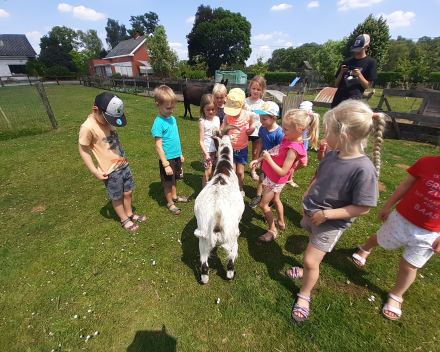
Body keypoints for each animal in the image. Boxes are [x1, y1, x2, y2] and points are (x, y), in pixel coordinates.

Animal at [194, 125, 246, 284]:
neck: (224, 168)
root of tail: (217, 216)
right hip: (232, 238)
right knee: (230, 263)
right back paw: (231, 275)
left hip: (203, 240)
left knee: (204, 265)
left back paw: (204, 278)